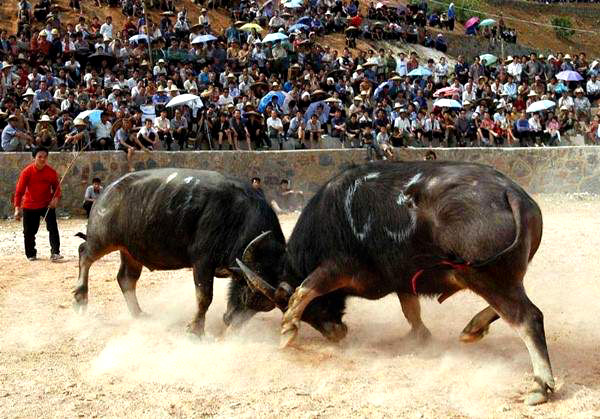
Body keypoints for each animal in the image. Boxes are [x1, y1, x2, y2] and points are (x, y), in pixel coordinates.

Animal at [73, 169, 286, 336]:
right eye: (245, 294)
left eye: (259, 308)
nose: (230, 320)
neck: (237, 218)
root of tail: (106, 192)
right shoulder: (202, 262)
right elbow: (204, 297)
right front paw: (195, 331)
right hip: (102, 239)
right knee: (84, 253)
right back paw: (80, 298)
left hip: (132, 251)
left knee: (126, 278)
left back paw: (139, 314)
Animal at [237, 162, 556, 406]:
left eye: (314, 312)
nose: (336, 333)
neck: (333, 218)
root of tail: (510, 193)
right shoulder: (402, 279)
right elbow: (411, 311)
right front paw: (420, 337)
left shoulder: (335, 268)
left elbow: (303, 290)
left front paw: (287, 333)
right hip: (495, 278)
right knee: (513, 309)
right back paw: (473, 328)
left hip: (488, 278)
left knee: (528, 317)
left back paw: (540, 385)